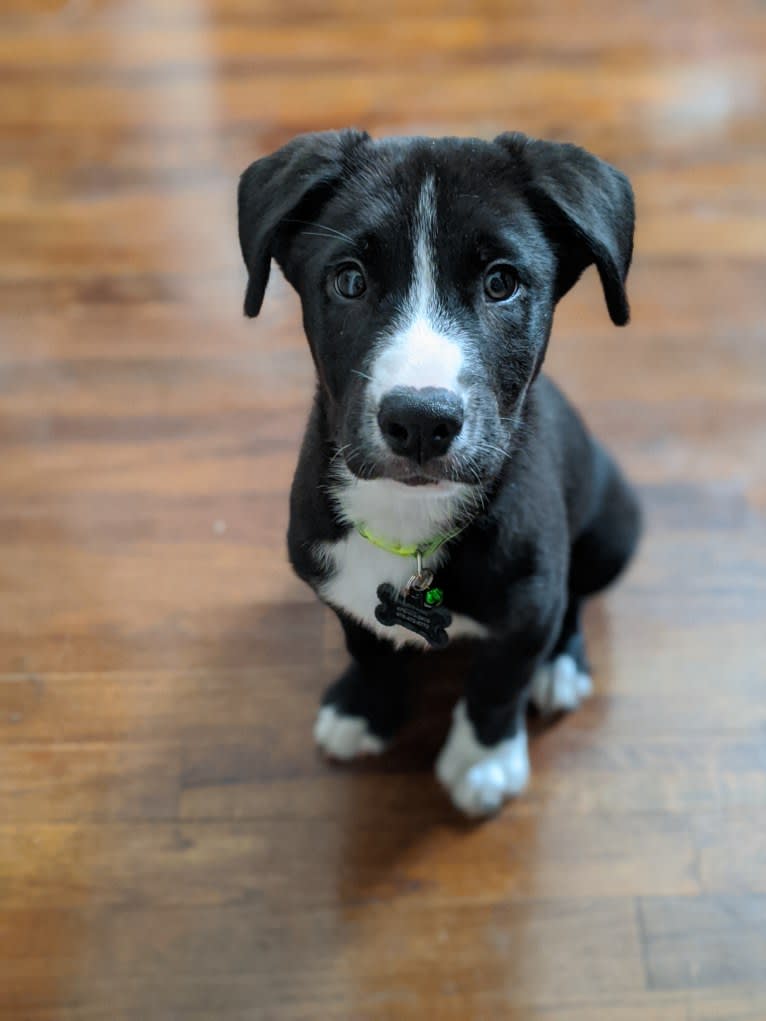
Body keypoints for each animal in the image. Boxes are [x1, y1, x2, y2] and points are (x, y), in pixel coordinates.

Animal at [238, 131, 641, 816]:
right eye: (349, 281)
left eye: (502, 283)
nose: (421, 420)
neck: (407, 517)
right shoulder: (335, 581)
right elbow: (367, 644)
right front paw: (365, 709)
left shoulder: (530, 601)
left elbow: (499, 682)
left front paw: (483, 761)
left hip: (615, 524)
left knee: (577, 599)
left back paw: (560, 667)